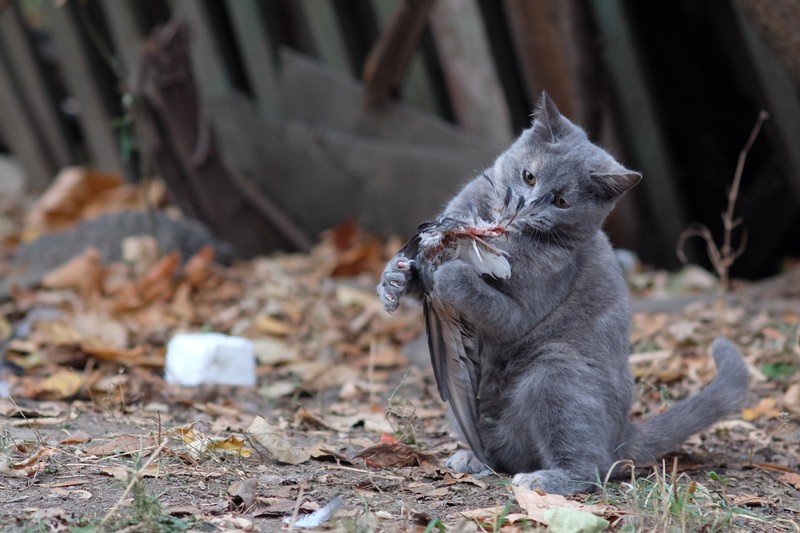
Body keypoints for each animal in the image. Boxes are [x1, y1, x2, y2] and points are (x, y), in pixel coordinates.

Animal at [378, 94, 748, 494]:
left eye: (560, 201)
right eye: (529, 176)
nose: (525, 205)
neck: (505, 233)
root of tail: (624, 433)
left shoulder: (527, 308)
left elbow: (494, 307)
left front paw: (451, 271)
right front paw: (393, 279)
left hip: (556, 374)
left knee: (590, 467)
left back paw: (544, 479)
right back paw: (474, 458)